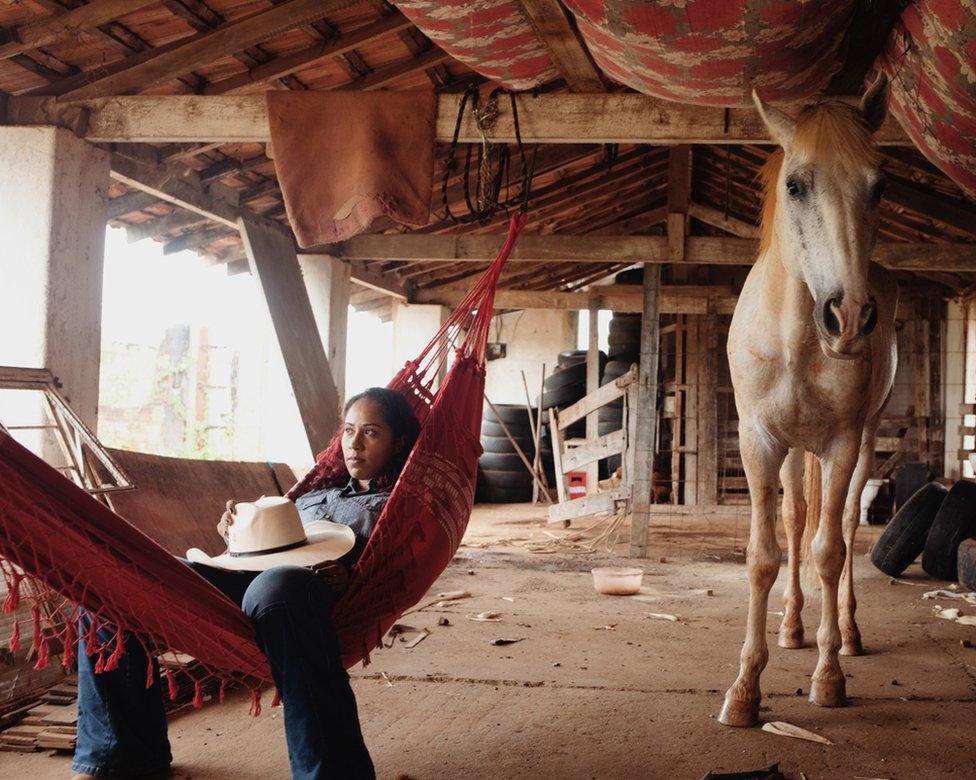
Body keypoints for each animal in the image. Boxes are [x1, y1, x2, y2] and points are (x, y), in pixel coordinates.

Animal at [720, 76, 896, 728]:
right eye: (795, 184)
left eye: (879, 184)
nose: (849, 318)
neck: (797, 338)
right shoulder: (759, 442)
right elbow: (765, 554)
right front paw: (745, 688)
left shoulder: (841, 443)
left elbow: (830, 549)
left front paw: (829, 676)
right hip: (795, 452)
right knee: (797, 518)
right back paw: (794, 626)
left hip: (862, 441)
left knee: (837, 525)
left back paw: (844, 633)